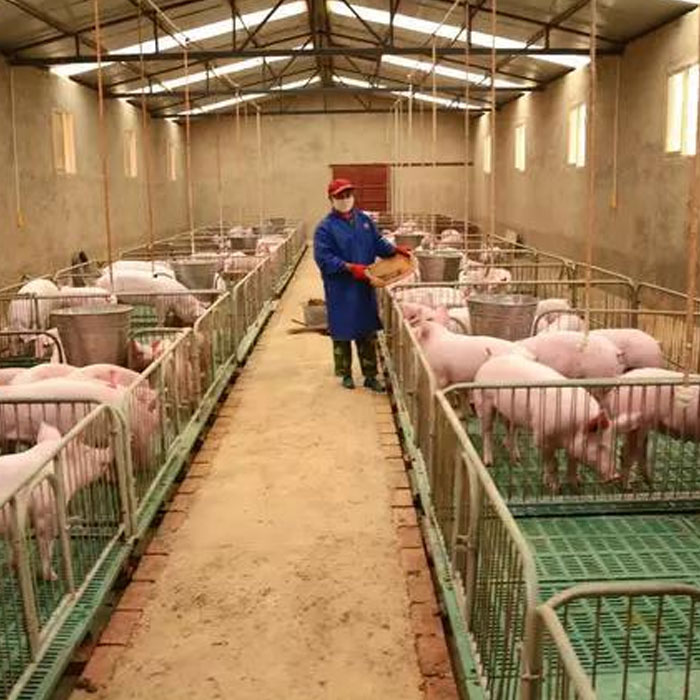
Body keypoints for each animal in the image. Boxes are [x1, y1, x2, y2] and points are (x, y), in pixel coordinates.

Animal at [0, 423, 113, 580]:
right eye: (86, 451)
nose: (107, 450)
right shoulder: (45, 514)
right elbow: (47, 544)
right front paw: (52, 577)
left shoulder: (14, 525)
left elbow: (14, 546)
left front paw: (16, 570)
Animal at [473, 354, 623, 491]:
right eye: (601, 445)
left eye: (613, 445)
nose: (616, 476)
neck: (569, 433)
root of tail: (490, 360)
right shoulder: (541, 438)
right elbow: (553, 463)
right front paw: (555, 488)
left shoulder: (573, 444)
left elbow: (573, 462)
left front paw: (576, 484)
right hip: (484, 401)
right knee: (487, 430)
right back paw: (489, 462)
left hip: (511, 412)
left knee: (511, 430)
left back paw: (516, 458)